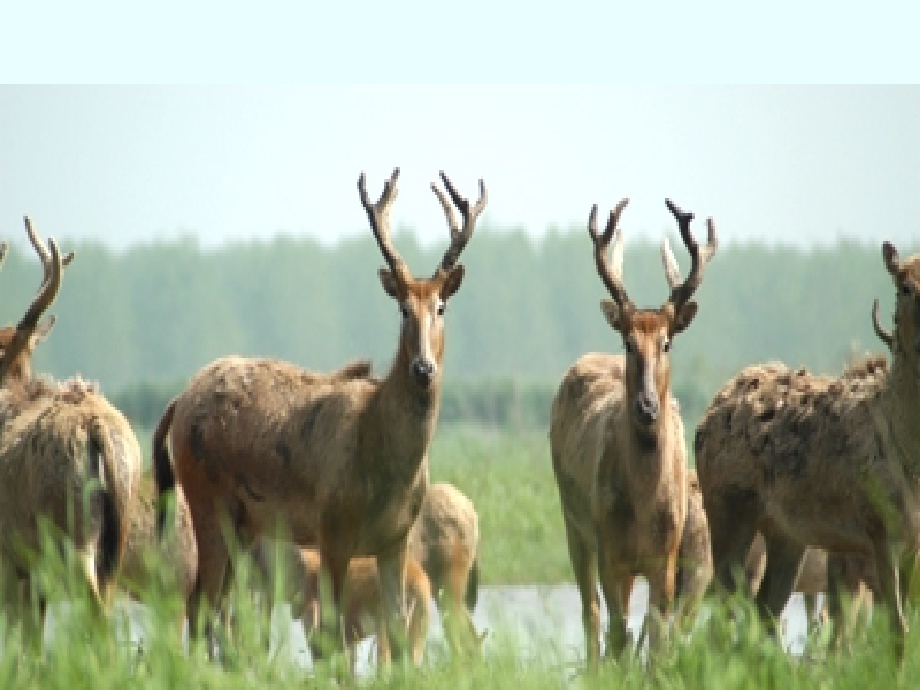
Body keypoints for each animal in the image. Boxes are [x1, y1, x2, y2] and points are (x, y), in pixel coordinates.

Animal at [153, 168, 486, 666]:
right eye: (403, 309)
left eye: (440, 307)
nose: (423, 368)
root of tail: (178, 401)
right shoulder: (332, 531)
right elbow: (331, 638)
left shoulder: (394, 540)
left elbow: (398, 636)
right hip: (205, 501)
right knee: (201, 607)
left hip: (243, 526)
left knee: (215, 612)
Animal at [549, 197, 717, 668]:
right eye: (627, 341)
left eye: (667, 342)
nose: (646, 406)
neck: (644, 510)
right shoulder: (611, 550)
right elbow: (620, 635)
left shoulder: (667, 558)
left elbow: (657, 641)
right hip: (573, 522)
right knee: (591, 613)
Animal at [694, 240, 920, 664]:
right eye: (904, 286)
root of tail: (705, 416)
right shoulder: (880, 528)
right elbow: (897, 630)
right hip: (728, 508)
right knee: (722, 607)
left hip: (786, 533)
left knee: (765, 609)